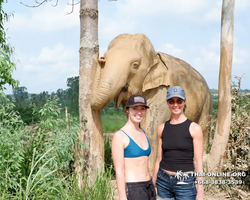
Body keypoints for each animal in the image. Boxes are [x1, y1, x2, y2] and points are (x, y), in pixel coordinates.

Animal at [90, 33, 211, 173]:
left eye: (135, 65)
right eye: (106, 59)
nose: (101, 59)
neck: (154, 57)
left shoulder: (162, 89)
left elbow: (151, 129)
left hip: (207, 103)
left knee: (203, 128)